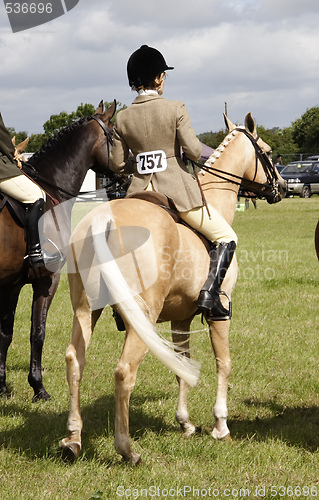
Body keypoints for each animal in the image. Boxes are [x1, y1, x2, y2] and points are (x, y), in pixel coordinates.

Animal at [0, 99, 116, 400]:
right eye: (115, 135)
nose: (131, 167)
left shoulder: (11, 284)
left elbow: (6, 333)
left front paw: (2, 386)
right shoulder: (47, 280)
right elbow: (37, 332)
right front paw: (38, 387)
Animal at [60, 111, 288, 462]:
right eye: (267, 151)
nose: (283, 188)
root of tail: (102, 219)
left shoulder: (181, 317)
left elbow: (181, 364)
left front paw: (185, 423)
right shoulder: (220, 313)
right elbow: (224, 363)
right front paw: (220, 425)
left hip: (86, 310)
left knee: (75, 361)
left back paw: (72, 440)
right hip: (142, 317)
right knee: (124, 371)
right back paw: (127, 450)